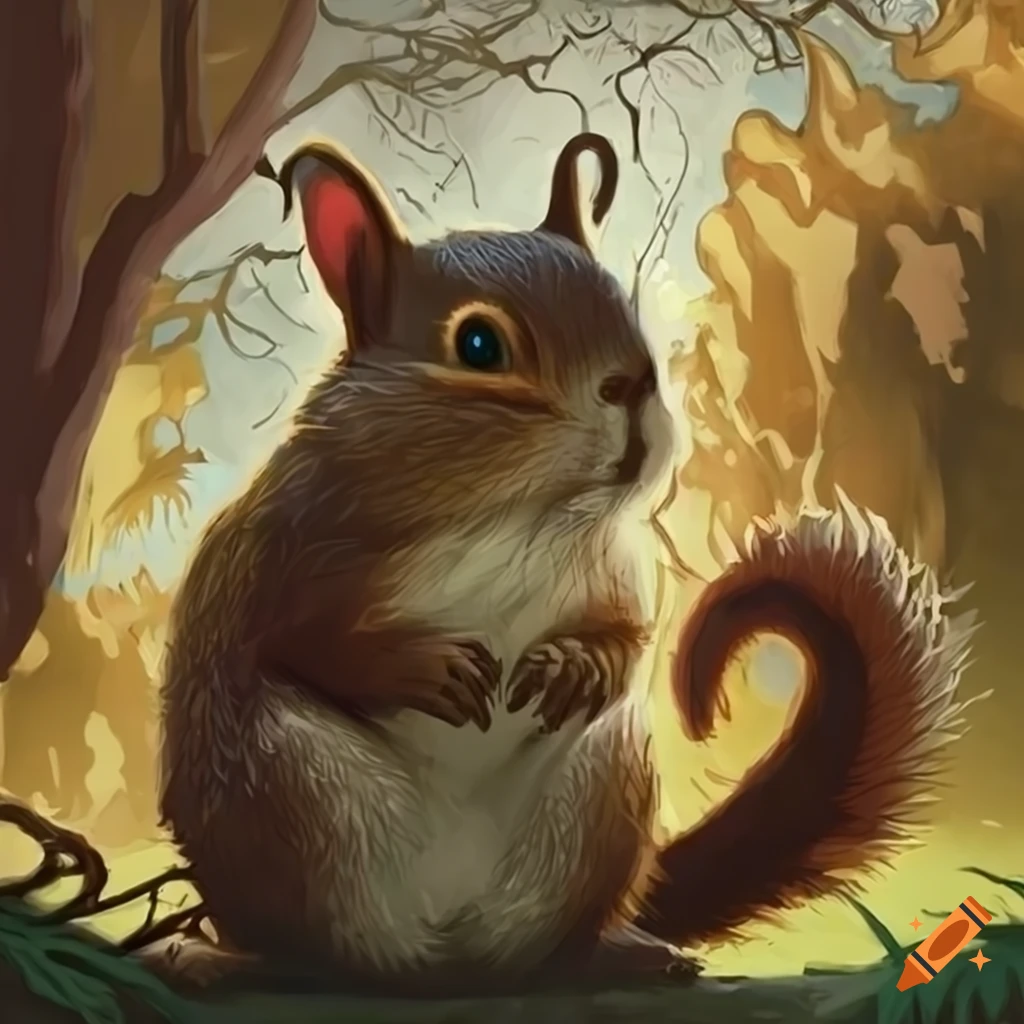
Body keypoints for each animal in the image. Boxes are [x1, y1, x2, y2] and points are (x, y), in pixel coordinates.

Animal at [159, 132, 974, 994]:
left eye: (624, 308)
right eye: (478, 345)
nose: (636, 384)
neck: (515, 517)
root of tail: (452, 962)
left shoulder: (620, 575)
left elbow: (629, 639)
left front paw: (574, 665)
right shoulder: (284, 554)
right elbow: (302, 642)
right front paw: (425, 667)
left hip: (604, 783)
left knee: (558, 944)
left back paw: (623, 952)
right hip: (293, 796)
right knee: (310, 949)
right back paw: (244, 960)